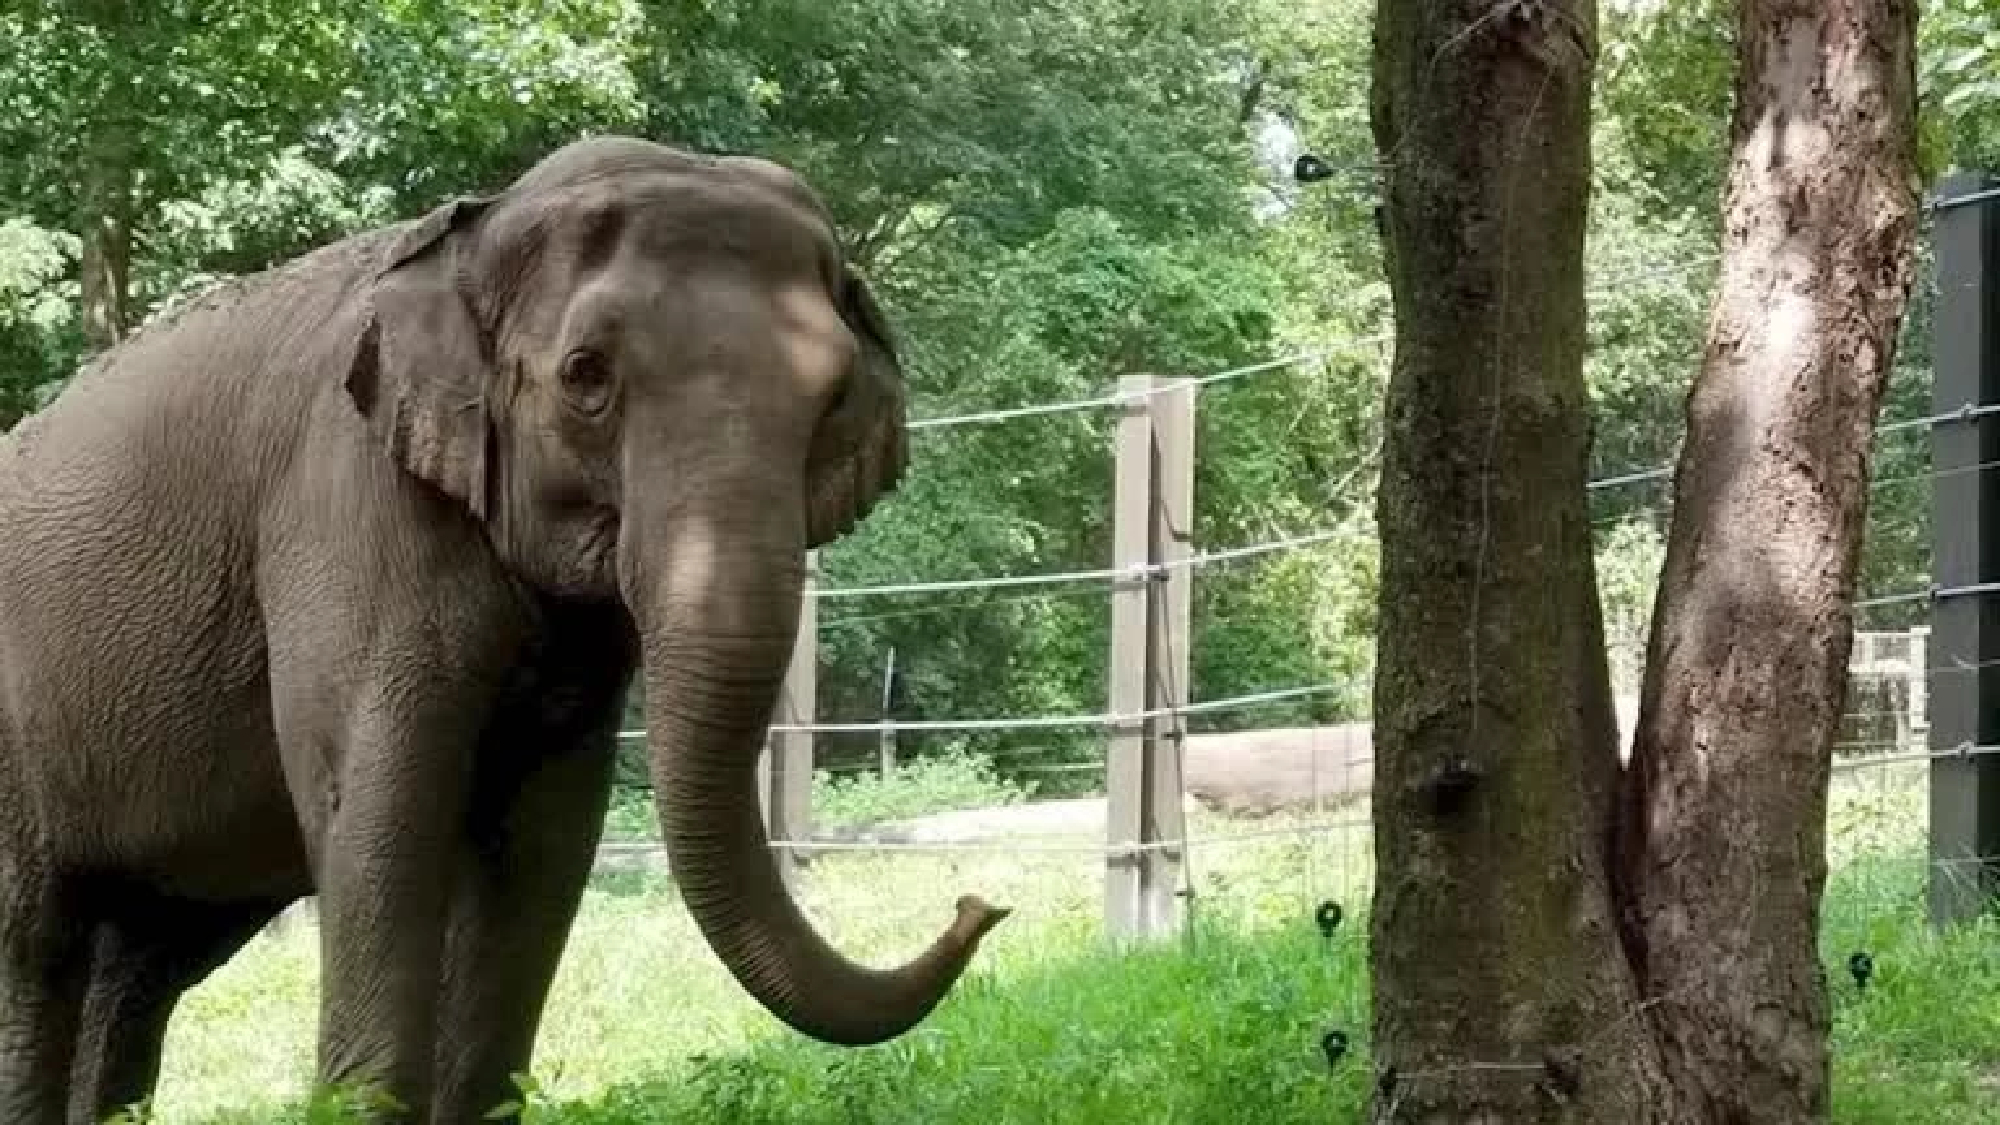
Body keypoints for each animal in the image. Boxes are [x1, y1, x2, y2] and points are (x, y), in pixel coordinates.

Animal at [0, 135, 1008, 1124]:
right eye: (586, 376)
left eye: (833, 395)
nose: (981, 901)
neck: (475, 228)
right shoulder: (345, 509)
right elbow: (381, 805)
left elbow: (544, 833)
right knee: (35, 948)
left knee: (139, 965)